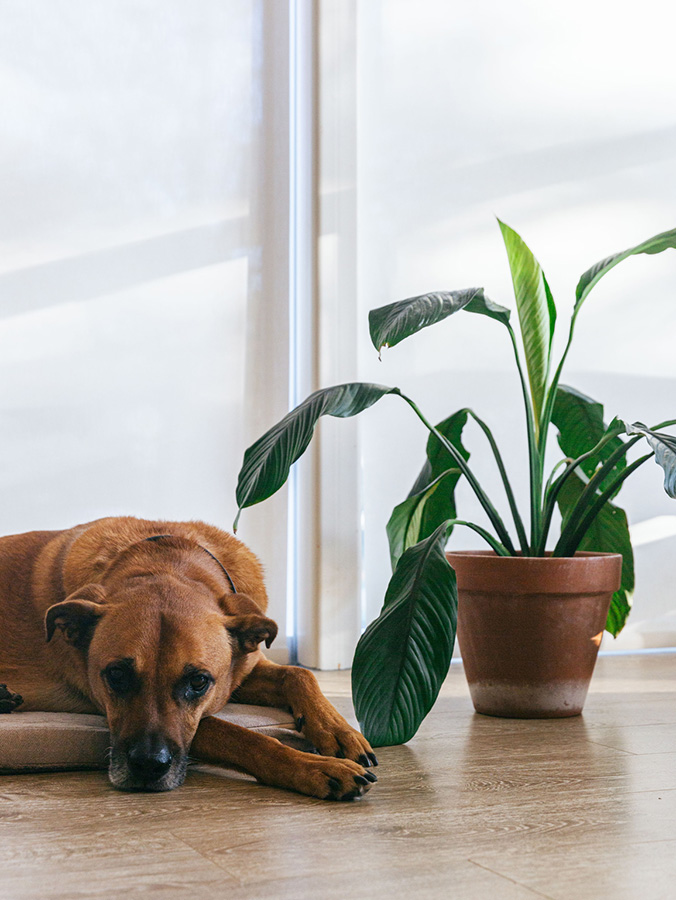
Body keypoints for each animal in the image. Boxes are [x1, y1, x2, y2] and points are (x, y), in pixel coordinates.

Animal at [0, 516, 378, 800]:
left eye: (198, 681)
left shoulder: (237, 672)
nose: (148, 766)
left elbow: (299, 674)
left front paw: (337, 731)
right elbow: (239, 734)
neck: (165, 559)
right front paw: (313, 767)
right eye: (117, 675)